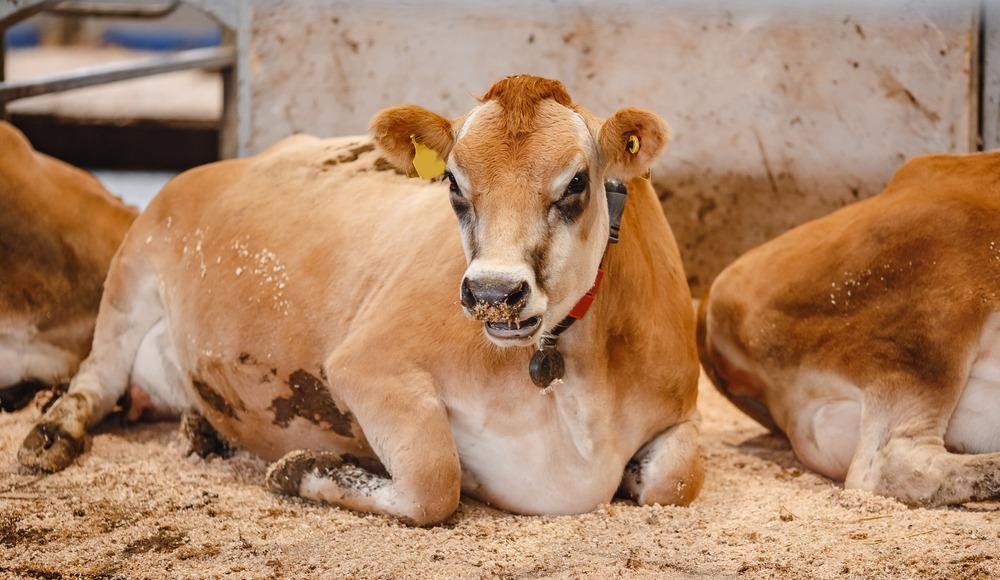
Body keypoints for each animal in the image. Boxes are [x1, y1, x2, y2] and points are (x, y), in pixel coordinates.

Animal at [17, 76, 703, 525]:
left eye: (577, 183)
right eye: (453, 184)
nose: (492, 293)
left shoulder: (680, 407)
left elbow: (676, 481)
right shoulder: (367, 362)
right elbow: (434, 482)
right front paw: (300, 471)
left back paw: (201, 427)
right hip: (132, 270)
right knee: (96, 377)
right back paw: (50, 436)